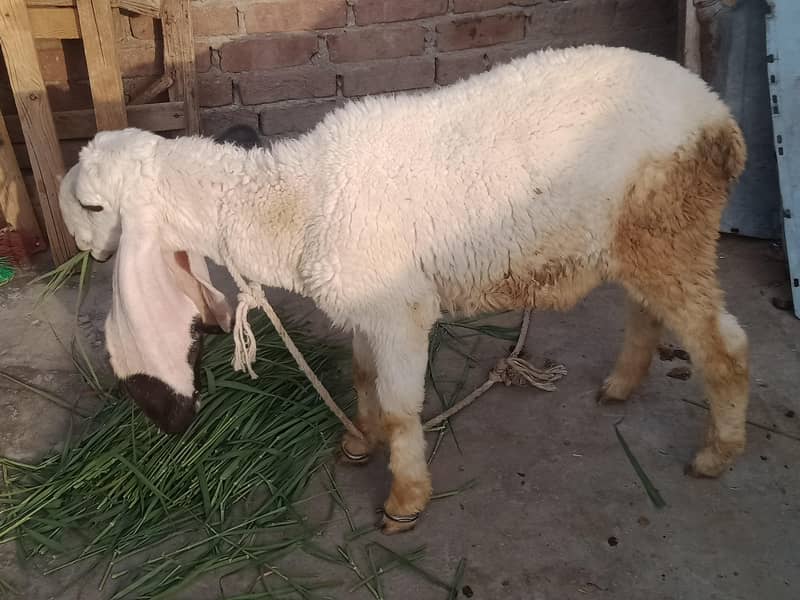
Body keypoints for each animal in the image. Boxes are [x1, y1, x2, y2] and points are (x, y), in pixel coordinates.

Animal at [59, 45, 749, 533]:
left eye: (93, 205)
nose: (86, 252)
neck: (298, 201)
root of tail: (719, 115)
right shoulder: (365, 308)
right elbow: (362, 379)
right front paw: (359, 442)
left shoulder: (399, 310)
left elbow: (399, 406)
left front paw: (405, 498)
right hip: (641, 239)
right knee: (646, 312)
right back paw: (622, 385)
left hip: (674, 230)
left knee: (725, 347)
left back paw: (717, 454)